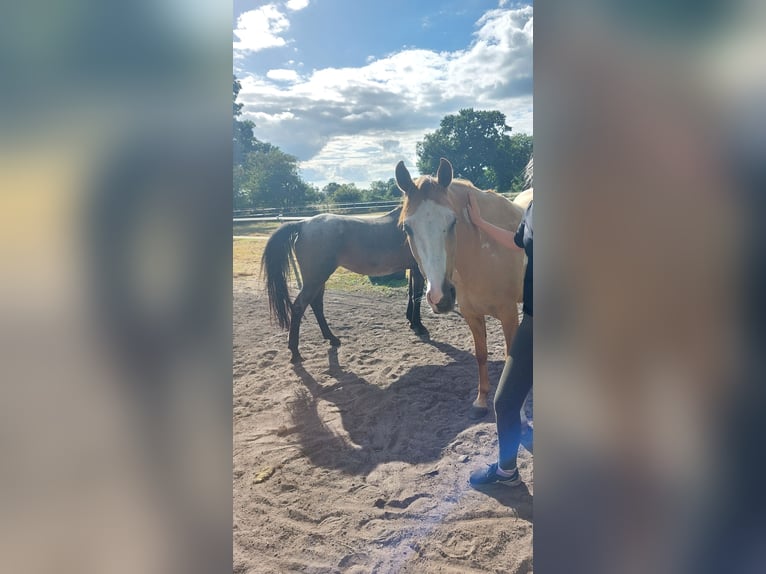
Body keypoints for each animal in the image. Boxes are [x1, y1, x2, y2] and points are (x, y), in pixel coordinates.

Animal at [261, 206, 426, 363]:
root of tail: (303, 224)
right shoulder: (419, 268)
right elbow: (417, 295)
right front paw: (418, 326)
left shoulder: (413, 268)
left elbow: (411, 293)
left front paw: (411, 321)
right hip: (315, 279)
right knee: (299, 307)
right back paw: (295, 353)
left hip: (318, 279)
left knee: (316, 304)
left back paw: (331, 338)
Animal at [395, 158, 527, 418]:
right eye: (407, 228)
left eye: (452, 221)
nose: (440, 297)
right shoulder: (471, 314)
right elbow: (481, 354)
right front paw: (481, 400)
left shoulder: (508, 313)